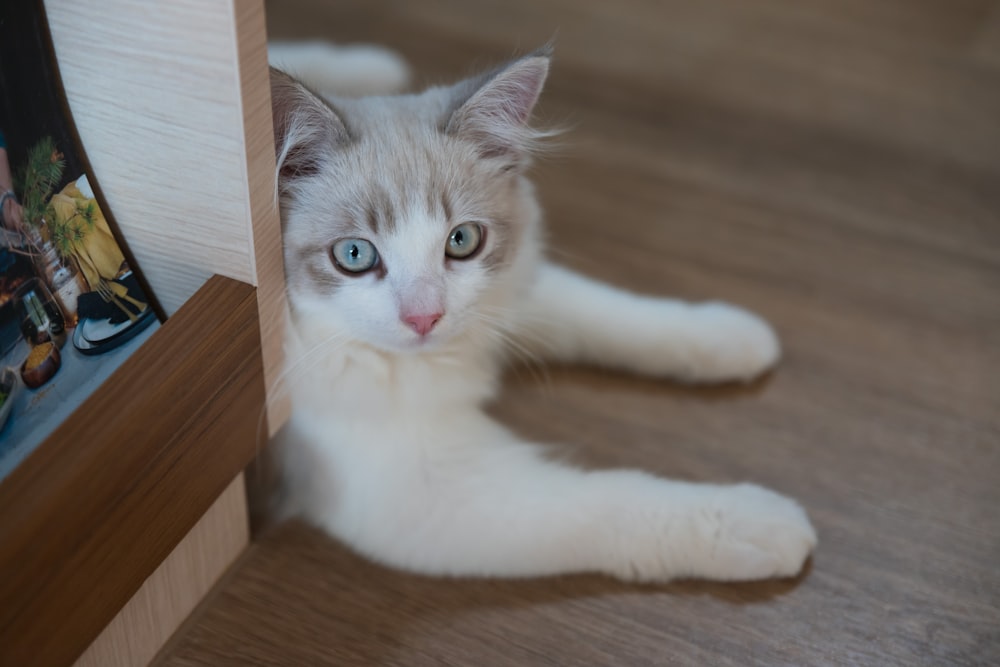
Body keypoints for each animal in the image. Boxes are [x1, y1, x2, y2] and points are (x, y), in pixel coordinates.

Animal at [270, 44, 816, 580]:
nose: (424, 318)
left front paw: (734, 336)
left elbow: (612, 314)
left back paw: (373, 65)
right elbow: (613, 501)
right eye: (354, 254)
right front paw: (755, 523)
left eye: (462, 241)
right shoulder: (431, 493)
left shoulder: (510, 292)